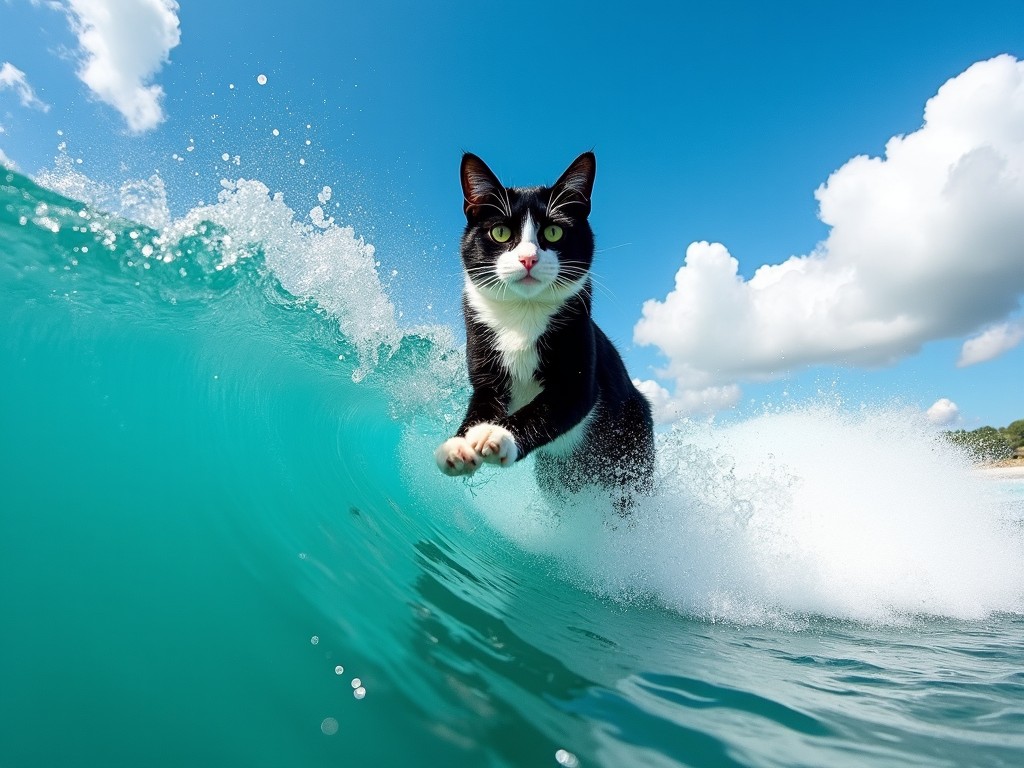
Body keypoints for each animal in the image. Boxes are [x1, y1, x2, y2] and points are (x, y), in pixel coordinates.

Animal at [436, 151, 651, 512]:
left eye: (552, 232)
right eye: (499, 232)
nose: (528, 258)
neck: (523, 315)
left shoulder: (578, 379)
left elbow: (547, 407)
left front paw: (497, 435)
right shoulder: (485, 369)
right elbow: (481, 405)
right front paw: (459, 445)